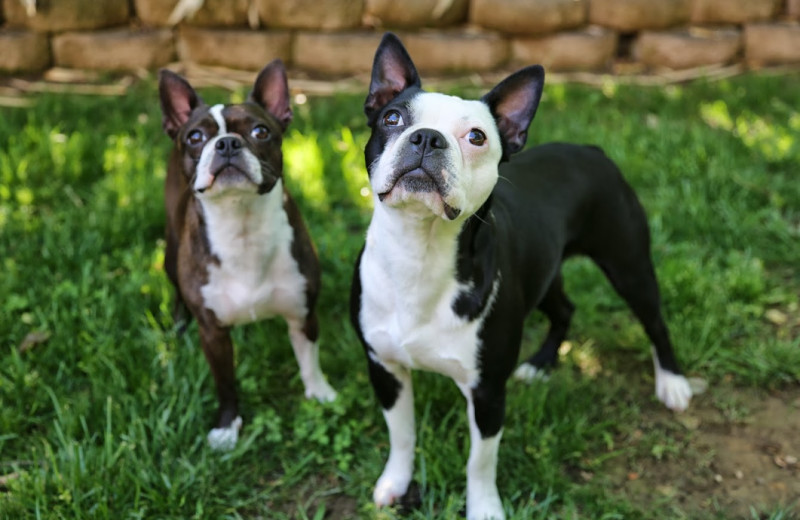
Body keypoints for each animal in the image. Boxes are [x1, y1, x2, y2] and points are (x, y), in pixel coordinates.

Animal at [161, 60, 336, 450]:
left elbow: (310, 360)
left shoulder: (304, 313)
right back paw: (177, 330)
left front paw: (319, 393)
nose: (227, 143)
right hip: (170, 255)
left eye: (261, 131)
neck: (242, 228)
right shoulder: (212, 332)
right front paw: (227, 427)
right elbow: (225, 383)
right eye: (195, 137)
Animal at [350, 34, 692, 516]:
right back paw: (541, 364)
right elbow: (402, 435)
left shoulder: (488, 392)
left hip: (628, 264)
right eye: (392, 118)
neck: (419, 252)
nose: (427, 138)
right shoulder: (385, 368)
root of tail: (591, 150)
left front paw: (484, 508)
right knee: (565, 308)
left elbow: (479, 462)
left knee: (655, 321)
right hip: (545, 274)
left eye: (476, 137)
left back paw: (673, 383)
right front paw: (395, 483)